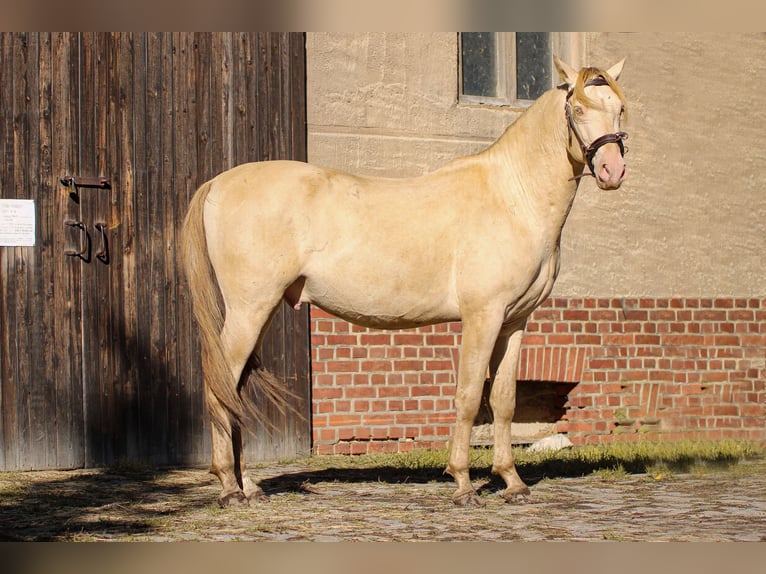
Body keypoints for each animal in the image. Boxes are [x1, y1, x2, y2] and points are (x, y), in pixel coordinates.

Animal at [182, 57, 632, 508]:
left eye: (619, 109)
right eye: (578, 109)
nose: (612, 171)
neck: (512, 198)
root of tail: (218, 183)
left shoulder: (514, 323)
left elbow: (504, 401)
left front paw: (512, 482)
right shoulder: (482, 316)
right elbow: (470, 397)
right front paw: (463, 483)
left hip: (262, 310)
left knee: (235, 390)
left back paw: (249, 486)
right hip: (249, 310)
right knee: (220, 388)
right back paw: (230, 488)